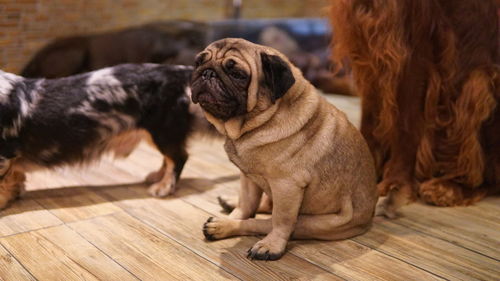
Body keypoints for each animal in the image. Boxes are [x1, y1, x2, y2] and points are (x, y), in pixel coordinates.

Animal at [0, 63, 211, 208]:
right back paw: (157, 177)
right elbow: (15, 178)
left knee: (178, 157)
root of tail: (178, 71)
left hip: (162, 130)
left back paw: (164, 187)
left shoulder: (4, 156)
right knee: (169, 158)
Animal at [189, 38, 376, 260]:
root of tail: (369, 217)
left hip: (313, 222)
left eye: (237, 75)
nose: (207, 73)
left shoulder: (286, 185)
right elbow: (246, 204)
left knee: (268, 221)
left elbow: (280, 220)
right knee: (262, 206)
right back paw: (228, 208)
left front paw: (272, 244)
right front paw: (234, 214)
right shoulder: (248, 176)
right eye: (198, 63)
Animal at [330, 0, 498, 217]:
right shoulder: (364, 37)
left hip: (480, 83)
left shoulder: (412, 45)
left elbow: (406, 125)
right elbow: (369, 120)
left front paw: (396, 184)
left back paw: (448, 188)